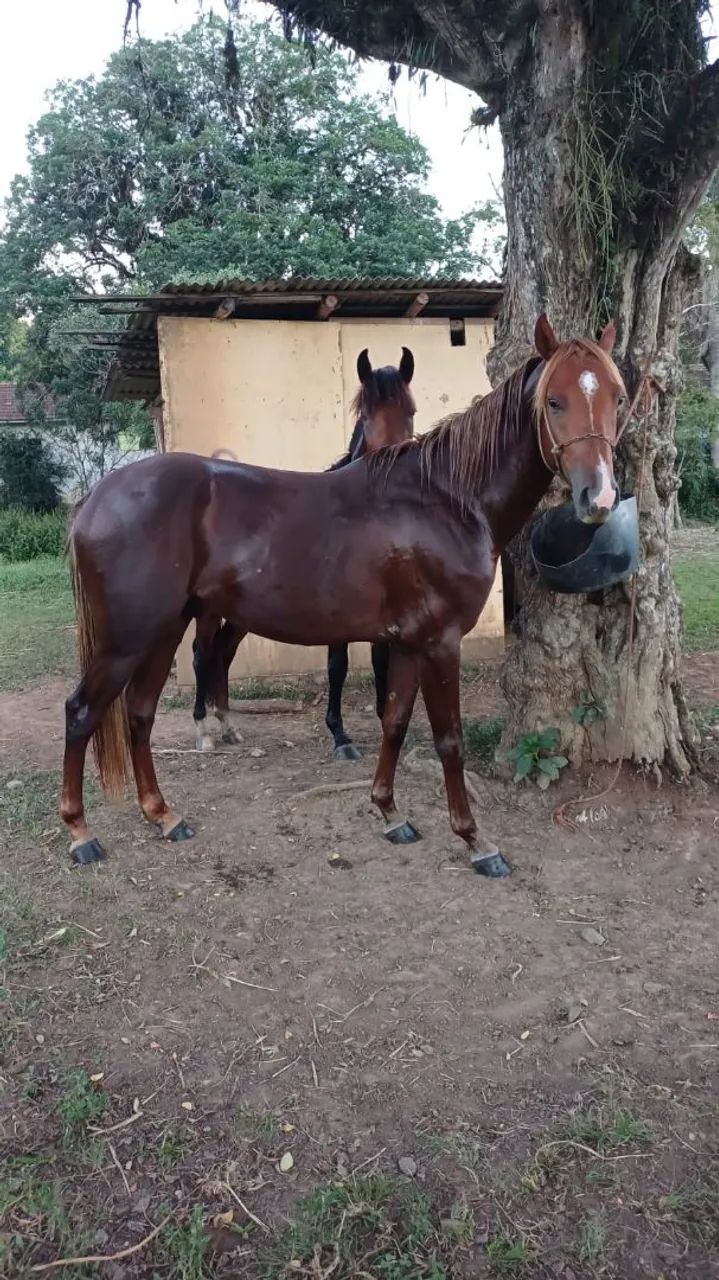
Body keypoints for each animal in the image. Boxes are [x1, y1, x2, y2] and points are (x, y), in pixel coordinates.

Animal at [190, 347, 416, 760]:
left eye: (410, 411)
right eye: (365, 415)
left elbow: (381, 661)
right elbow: (338, 665)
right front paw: (340, 736)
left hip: (243, 613)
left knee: (223, 653)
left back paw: (228, 725)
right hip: (210, 610)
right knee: (202, 654)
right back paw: (203, 729)